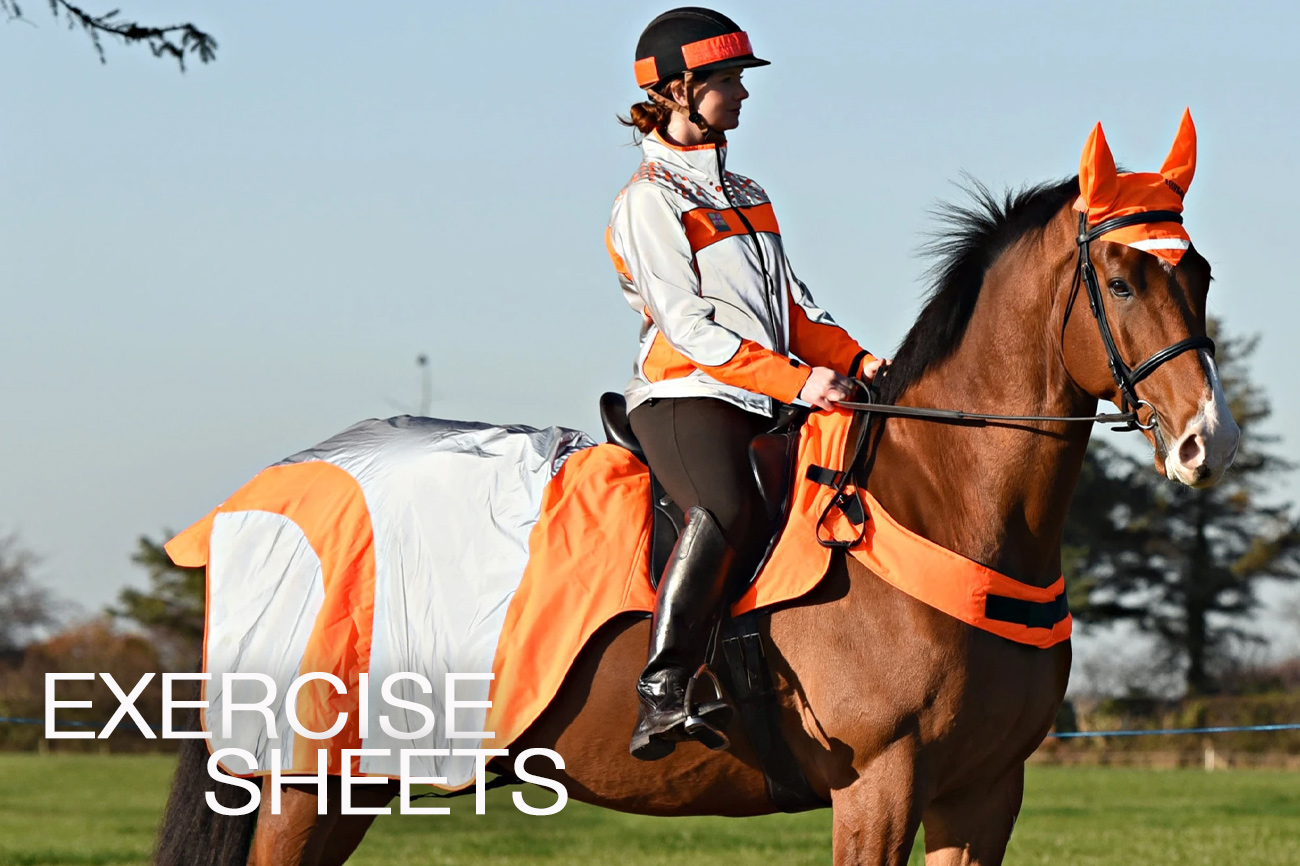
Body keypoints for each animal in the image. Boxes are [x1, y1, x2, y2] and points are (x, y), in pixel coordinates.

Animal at [153, 127, 1239, 866]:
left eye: (1200, 272)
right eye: (1120, 279)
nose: (1207, 440)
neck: (945, 506)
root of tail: (281, 485)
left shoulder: (982, 792)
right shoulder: (880, 783)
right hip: (311, 780)